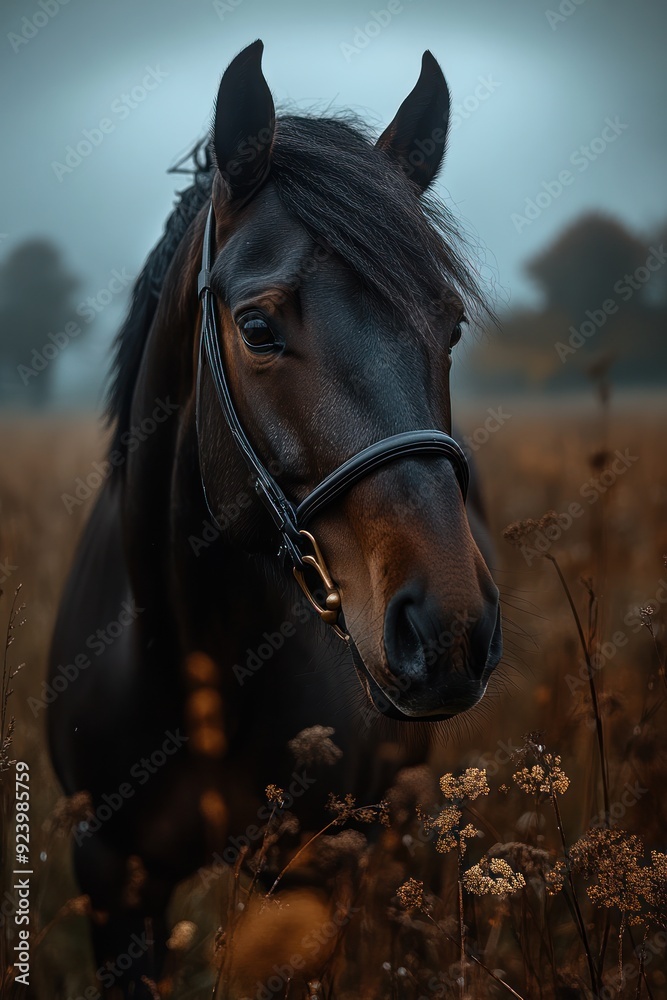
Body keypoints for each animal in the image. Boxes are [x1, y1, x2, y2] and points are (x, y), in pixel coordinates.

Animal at [48, 39, 502, 996]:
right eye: (256, 328)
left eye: (448, 328)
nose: (446, 631)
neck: (194, 663)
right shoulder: (110, 879)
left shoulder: (307, 878)